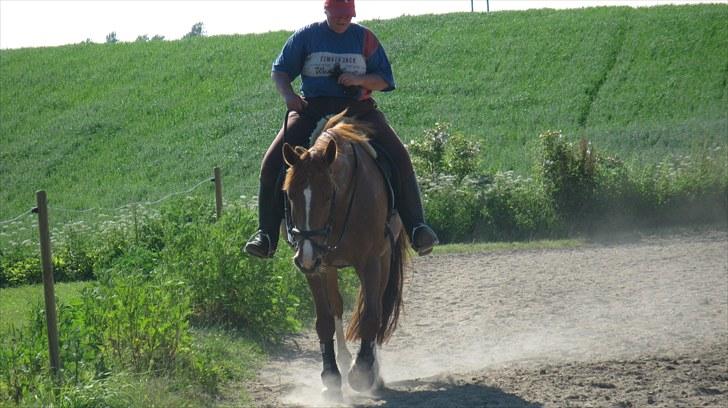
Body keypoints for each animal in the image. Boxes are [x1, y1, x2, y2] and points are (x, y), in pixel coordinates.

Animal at [282, 111, 410, 398]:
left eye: (329, 195)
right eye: (290, 194)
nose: (306, 256)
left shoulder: (371, 261)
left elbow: (371, 315)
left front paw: (362, 371)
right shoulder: (316, 268)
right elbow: (324, 320)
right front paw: (330, 376)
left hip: (383, 258)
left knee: (376, 307)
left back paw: (372, 371)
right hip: (326, 264)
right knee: (338, 306)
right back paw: (343, 360)